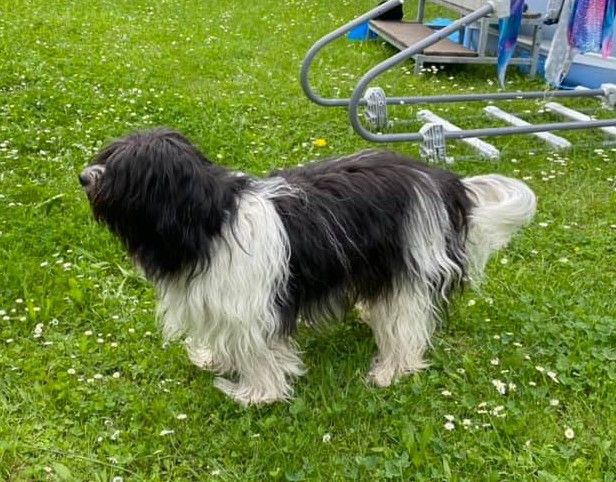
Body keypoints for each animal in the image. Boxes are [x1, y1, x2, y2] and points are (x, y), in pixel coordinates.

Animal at [80, 129, 536, 405]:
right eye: (109, 155)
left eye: (124, 171)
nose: (84, 177)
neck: (209, 222)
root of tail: (439, 181)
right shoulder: (221, 303)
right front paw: (215, 360)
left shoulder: (253, 311)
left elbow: (259, 353)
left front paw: (256, 394)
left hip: (409, 265)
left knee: (406, 324)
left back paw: (392, 370)